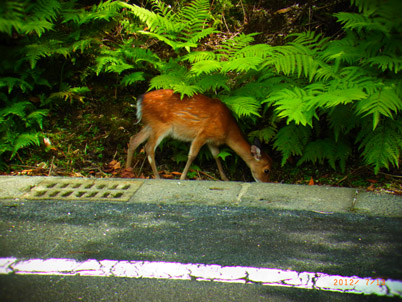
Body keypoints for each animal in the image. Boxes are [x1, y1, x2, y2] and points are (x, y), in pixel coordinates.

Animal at [126, 88, 274, 182]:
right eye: (266, 170)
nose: (266, 182)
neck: (227, 130)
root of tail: (140, 101)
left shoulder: (211, 141)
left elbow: (216, 155)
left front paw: (225, 178)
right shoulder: (203, 133)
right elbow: (192, 155)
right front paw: (182, 177)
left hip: (150, 124)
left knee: (134, 140)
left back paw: (127, 171)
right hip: (160, 125)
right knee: (148, 147)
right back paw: (157, 177)